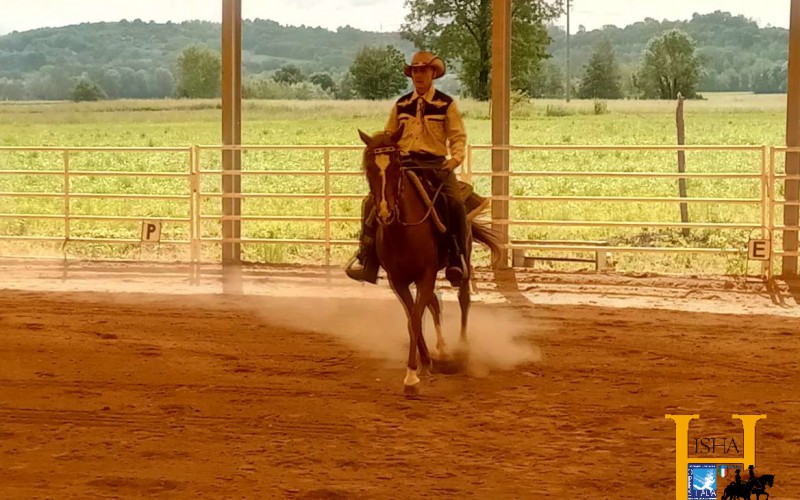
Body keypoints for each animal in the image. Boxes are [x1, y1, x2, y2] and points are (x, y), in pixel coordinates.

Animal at [358, 125, 500, 394]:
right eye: (369, 168)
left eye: (396, 166)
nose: (385, 212)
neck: (402, 231)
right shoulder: (399, 280)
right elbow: (412, 317)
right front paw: (424, 363)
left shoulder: (426, 274)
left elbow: (415, 318)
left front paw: (412, 376)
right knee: (434, 302)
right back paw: (442, 351)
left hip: (462, 262)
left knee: (463, 299)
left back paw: (462, 349)